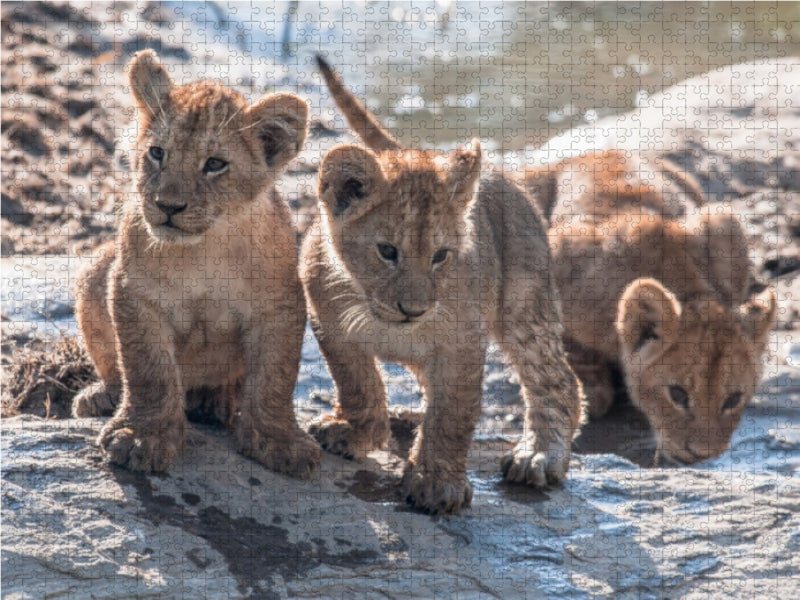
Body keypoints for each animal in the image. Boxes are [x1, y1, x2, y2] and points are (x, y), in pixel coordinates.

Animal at [71, 49, 320, 477]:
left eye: (215, 164)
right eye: (157, 153)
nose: (168, 206)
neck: (204, 248)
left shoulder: (280, 303)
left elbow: (275, 376)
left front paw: (279, 440)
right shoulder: (134, 293)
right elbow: (148, 369)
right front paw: (143, 436)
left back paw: (215, 404)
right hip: (94, 272)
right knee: (114, 368)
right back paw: (101, 396)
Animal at [300, 57, 584, 513]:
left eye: (440, 256)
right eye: (387, 251)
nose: (413, 310)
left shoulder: (463, 342)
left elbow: (452, 413)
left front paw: (437, 483)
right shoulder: (327, 320)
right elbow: (356, 378)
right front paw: (358, 431)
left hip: (524, 301)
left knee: (556, 379)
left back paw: (539, 454)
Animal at [524, 150, 776, 464]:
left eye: (733, 399)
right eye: (677, 394)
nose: (701, 455)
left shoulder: (722, 231)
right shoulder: (556, 255)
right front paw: (589, 383)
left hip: (724, 217)